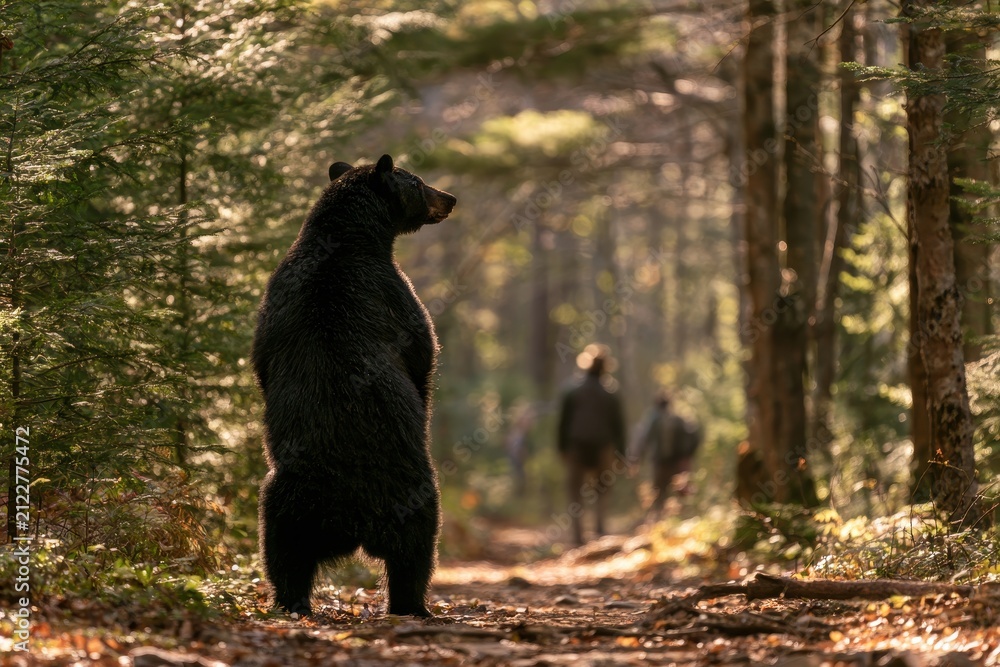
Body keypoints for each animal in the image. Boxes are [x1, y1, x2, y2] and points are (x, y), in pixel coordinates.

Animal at [251, 154, 456, 617]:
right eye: (418, 182)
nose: (450, 197)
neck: (348, 238)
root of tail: (351, 519)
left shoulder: (274, 305)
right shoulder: (396, 294)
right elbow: (423, 357)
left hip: (287, 501)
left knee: (283, 550)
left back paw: (291, 602)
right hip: (412, 489)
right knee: (416, 548)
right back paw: (412, 605)